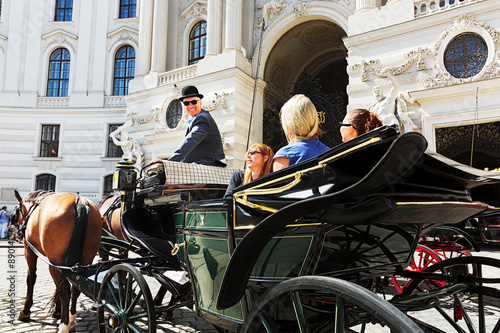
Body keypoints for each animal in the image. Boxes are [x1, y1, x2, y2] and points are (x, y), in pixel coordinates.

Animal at [14, 189, 101, 332]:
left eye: (16, 213)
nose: (17, 232)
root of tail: (80, 202)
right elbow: (57, 285)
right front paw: (58, 310)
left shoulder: (30, 251)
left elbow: (31, 278)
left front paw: (25, 311)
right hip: (84, 261)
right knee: (75, 287)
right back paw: (71, 318)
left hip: (56, 262)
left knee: (65, 289)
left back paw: (64, 325)